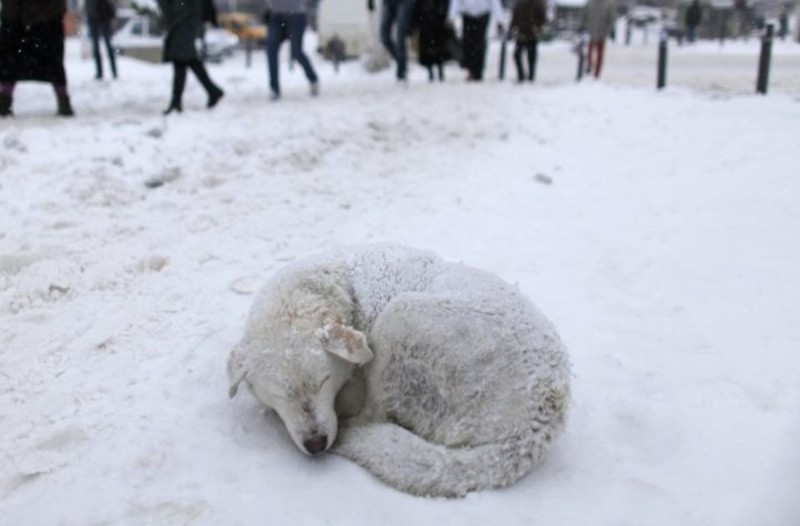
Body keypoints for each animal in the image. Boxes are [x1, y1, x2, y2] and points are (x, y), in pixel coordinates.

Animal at [228, 245, 572, 498]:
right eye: (281, 394)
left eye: (323, 381)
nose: (316, 444)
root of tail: (535, 425)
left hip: (400, 317)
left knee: (374, 415)